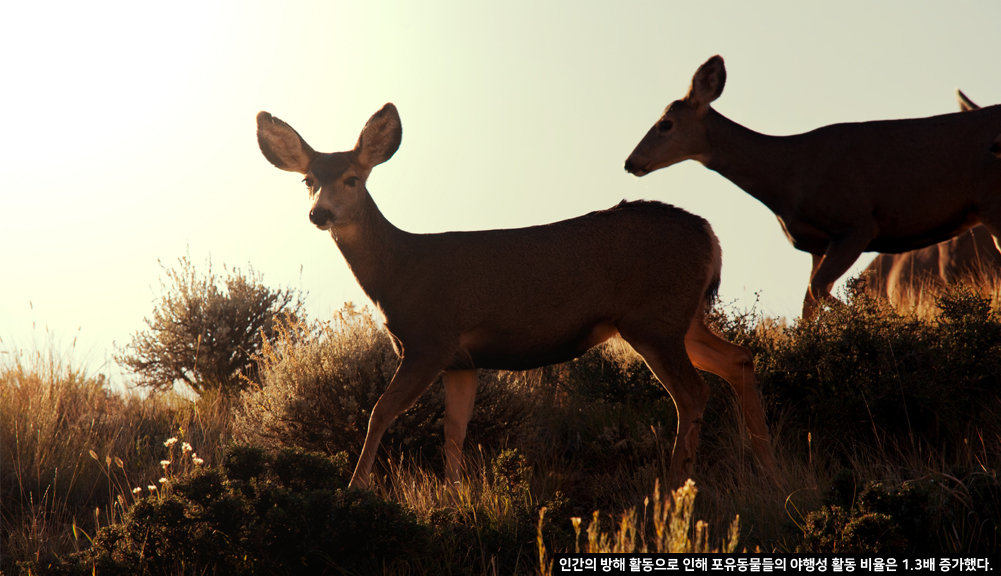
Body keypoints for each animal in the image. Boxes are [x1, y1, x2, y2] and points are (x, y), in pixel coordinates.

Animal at [254, 103, 776, 490]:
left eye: (352, 179)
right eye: (308, 180)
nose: (319, 214)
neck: (398, 272)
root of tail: (710, 236)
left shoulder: (429, 339)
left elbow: (380, 410)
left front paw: (355, 489)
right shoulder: (461, 360)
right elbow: (454, 430)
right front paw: (454, 494)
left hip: (653, 318)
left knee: (693, 390)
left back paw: (675, 486)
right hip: (681, 317)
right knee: (738, 359)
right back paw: (769, 471)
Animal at [620, 55, 1001, 320]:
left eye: (665, 124)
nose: (630, 161)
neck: (788, 178)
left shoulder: (856, 224)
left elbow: (817, 292)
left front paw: (889, 321)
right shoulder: (816, 245)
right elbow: (808, 304)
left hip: (991, 204)